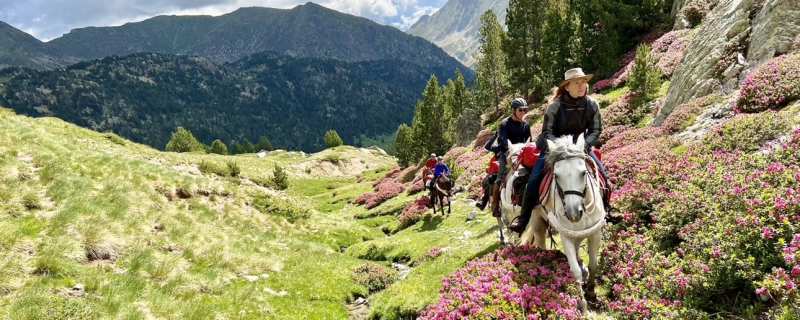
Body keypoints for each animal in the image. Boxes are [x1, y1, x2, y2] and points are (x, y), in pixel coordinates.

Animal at [520, 132, 608, 316]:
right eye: (556, 175)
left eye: (583, 173)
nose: (573, 213)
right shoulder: (566, 235)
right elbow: (574, 271)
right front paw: (582, 305)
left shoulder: (594, 233)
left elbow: (594, 264)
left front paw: (591, 291)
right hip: (537, 222)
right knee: (541, 241)